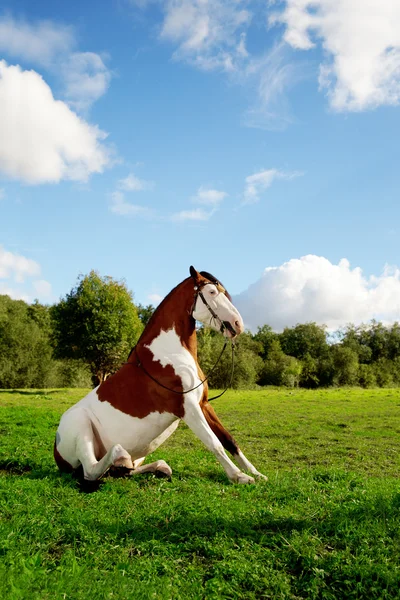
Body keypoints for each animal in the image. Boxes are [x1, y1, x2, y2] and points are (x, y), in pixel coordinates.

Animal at [53, 268, 266, 482]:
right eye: (212, 292)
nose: (238, 324)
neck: (169, 353)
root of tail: (57, 451)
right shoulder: (188, 408)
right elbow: (214, 442)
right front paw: (239, 476)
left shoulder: (203, 404)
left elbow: (229, 440)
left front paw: (256, 473)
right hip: (81, 426)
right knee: (91, 470)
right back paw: (120, 456)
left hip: (139, 454)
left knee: (126, 470)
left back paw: (158, 467)